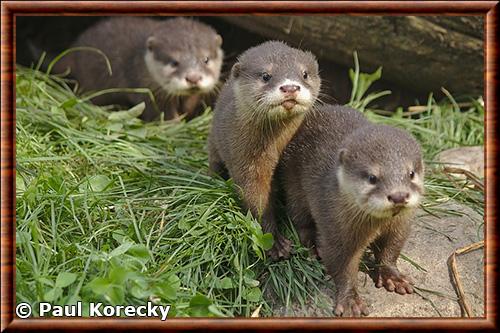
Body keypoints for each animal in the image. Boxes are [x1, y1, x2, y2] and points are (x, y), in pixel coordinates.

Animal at [207, 40, 320, 260]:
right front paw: (275, 243)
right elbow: (257, 202)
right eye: (266, 75)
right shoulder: (247, 162)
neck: (276, 147)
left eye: (304, 74)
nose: (290, 87)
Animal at [280, 104, 424, 316]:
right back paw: (312, 246)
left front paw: (393, 276)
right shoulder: (336, 228)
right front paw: (350, 300)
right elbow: (341, 265)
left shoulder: (400, 226)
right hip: (293, 184)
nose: (399, 196)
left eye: (411, 173)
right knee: (299, 218)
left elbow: (391, 250)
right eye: (372, 178)